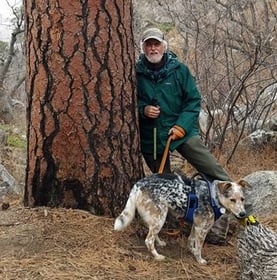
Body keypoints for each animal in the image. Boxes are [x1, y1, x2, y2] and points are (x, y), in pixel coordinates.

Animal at [113, 173, 247, 264]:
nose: (243, 214)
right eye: (232, 200)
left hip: (157, 217)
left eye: (242, 199)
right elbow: (199, 247)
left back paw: (160, 243)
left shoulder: (196, 225)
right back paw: (157, 256)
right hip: (161, 216)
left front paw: (191, 251)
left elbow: (190, 240)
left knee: (152, 232)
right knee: (148, 240)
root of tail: (139, 183)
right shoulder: (202, 229)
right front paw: (199, 260)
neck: (213, 196)